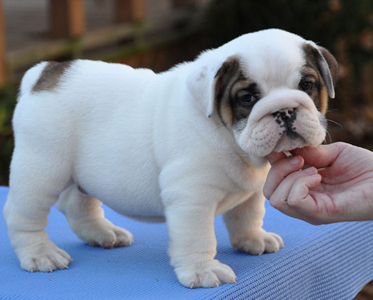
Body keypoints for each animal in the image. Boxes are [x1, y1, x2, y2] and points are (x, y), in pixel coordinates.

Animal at [3, 28, 338, 288]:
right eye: (247, 98)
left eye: (307, 85)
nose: (285, 110)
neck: (230, 138)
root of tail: (44, 74)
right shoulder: (191, 197)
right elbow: (198, 237)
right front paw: (203, 271)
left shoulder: (250, 190)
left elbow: (247, 214)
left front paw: (253, 239)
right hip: (42, 169)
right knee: (22, 215)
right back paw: (40, 253)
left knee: (76, 203)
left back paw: (103, 233)